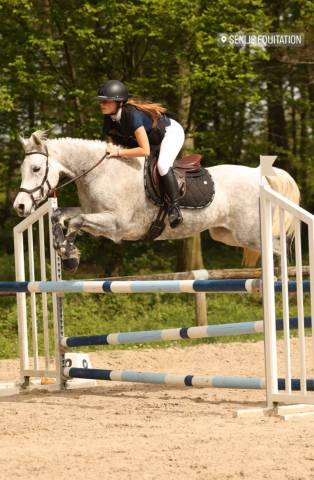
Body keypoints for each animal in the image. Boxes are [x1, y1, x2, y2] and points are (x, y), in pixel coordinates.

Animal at [14, 129, 300, 272]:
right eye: (23, 168)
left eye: (36, 168)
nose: (20, 206)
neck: (100, 171)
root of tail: (258, 174)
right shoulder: (93, 213)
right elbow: (61, 216)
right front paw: (66, 252)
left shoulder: (117, 225)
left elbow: (75, 221)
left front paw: (69, 254)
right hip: (226, 235)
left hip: (250, 233)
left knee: (278, 248)